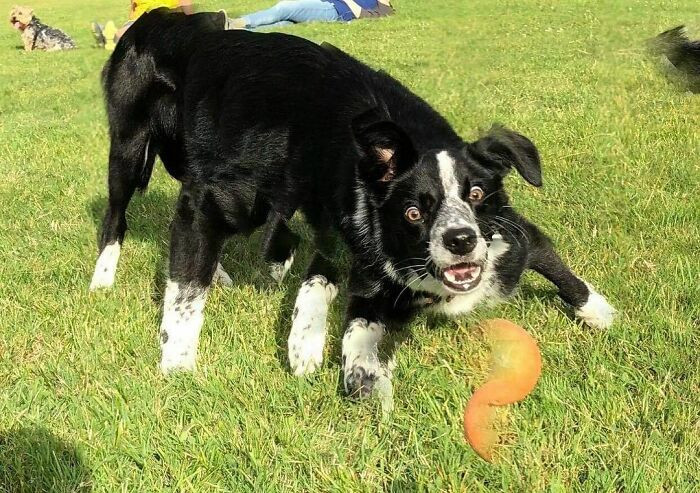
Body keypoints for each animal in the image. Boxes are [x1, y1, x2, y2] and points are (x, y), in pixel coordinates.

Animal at [91, 9, 616, 398]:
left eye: (477, 194)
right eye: (413, 211)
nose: (462, 241)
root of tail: (158, 18)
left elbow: (547, 255)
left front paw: (596, 310)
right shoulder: (216, 200)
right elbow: (185, 295)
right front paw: (178, 367)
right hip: (129, 148)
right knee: (119, 217)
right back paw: (104, 279)